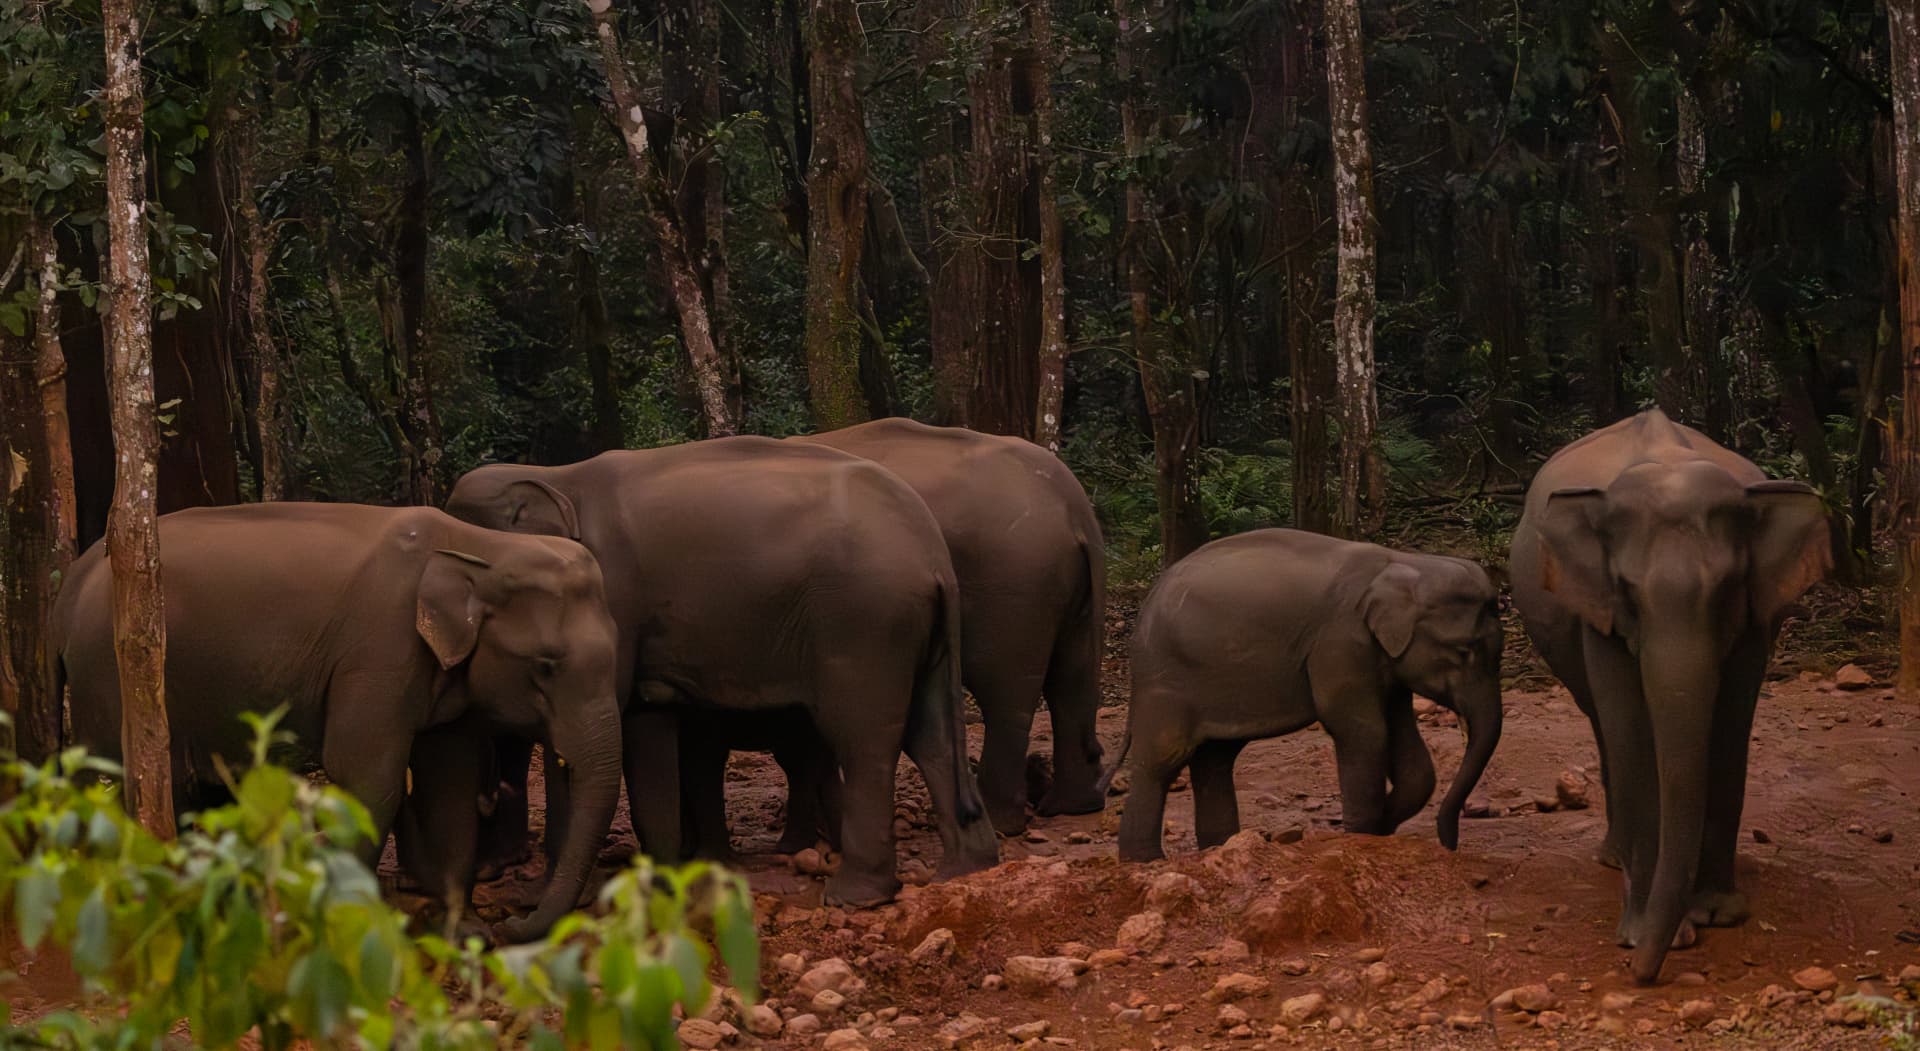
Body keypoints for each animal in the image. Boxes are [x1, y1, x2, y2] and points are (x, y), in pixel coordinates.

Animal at [49, 503, 623, 943]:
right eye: (546, 664)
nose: (514, 923)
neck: (479, 548)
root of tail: (74, 579)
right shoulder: (376, 656)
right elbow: (368, 777)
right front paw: (355, 923)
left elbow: (449, 789)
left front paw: (464, 934)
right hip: (108, 675)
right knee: (114, 782)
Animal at [437, 436, 1001, 905]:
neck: (553, 476)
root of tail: (933, 555)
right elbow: (644, 723)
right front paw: (664, 880)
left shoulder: (612, 599)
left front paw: (540, 899)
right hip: (912, 627)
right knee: (930, 733)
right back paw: (964, 870)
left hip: (863, 622)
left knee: (863, 737)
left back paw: (854, 897)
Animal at [1111, 528, 1506, 862]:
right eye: (1464, 652)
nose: (1449, 844)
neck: (1405, 562)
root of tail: (1145, 607)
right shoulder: (1340, 643)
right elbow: (1362, 731)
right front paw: (1362, 838)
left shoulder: (1385, 663)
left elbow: (1407, 749)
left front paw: (1381, 827)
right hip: (1166, 679)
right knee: (1164, 757)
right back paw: (1145, 861)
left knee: (1215, 759)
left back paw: (1220, 847)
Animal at [1510, 409, 1831, 984]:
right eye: (1628, 591)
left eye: (1727, 588)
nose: (1641, 972)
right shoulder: (1599, 611)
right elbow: (1633, 733)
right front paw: (1647, 935)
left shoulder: (1755, 618)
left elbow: (1730, 728)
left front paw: (1717, 915)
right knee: (1601, 724)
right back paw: (1614, 860)